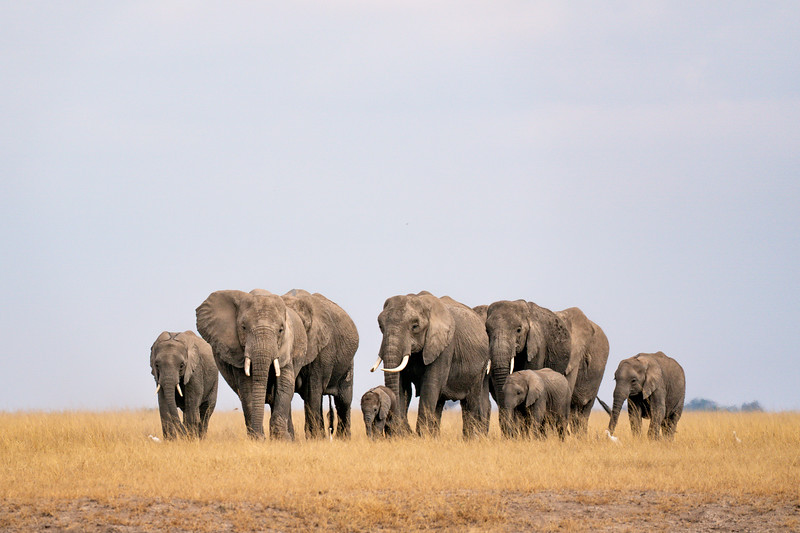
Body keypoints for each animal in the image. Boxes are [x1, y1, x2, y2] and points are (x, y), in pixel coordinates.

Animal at [196, 289, 309, 440]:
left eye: (281, 330)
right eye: (243, 328)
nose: (261, 436)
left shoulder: (287, 347)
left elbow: (284, 384)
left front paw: (281, 440)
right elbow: (247, 388)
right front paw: (258, 439)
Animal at [282, 289, 358, 440]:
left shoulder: (323, 349)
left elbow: (312, 389)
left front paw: (315, 439)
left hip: (348, 362)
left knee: (343, 400)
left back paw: (343, 439)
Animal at [370, 291, 491, 438]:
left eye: (415, 326)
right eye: (380, 326)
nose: (406, 432)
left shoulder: (445, 347)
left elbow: (430, 385)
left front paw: (421, 437)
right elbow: (403, 386)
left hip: (481, 367)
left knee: (470, 401)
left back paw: (470, 439)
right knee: (440, 403)